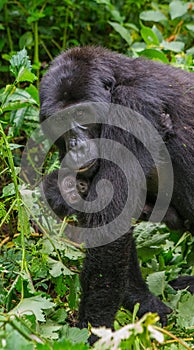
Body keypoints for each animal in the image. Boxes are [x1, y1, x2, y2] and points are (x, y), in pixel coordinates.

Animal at [39, 45, 194, 336]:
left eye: (81, 115)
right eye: (61, 121)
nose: (76, 146)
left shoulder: (133, 109)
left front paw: (93, 331)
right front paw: (144, 303)